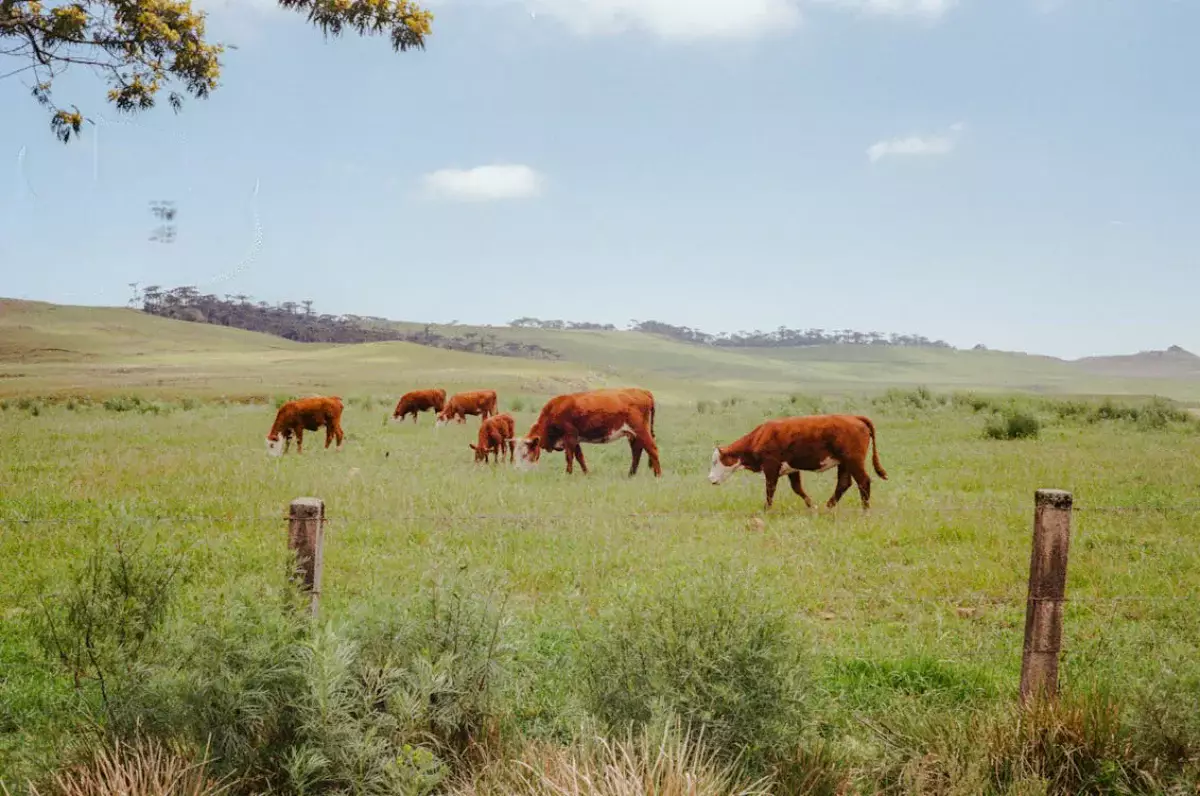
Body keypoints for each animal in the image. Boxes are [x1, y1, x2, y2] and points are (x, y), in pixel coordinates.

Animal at [511, 386, 662, 475]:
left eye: (525, 454)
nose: (517, 470)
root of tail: (643, 391)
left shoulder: (569, 436)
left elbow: (569, 457)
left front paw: (568, 473)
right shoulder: (575, 439)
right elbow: (579, 457)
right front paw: (586, 473)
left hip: (641, 430)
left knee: (652, 449)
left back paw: (658, 475)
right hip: (632, 434)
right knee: (637, 451)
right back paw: (631, 474)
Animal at [705, 417, 888, 511]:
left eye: (715, 461)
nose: (710, 479)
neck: (759, 436)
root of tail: (854, 417)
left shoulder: (771, 466)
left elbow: (770, 489)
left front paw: (766, 509)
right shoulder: (792, 469)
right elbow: (797, 488)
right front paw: (812, 506)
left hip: (854, 461)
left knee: (863, 481)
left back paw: (865, 510)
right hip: (844, 463)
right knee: (844, 483)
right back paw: (828, 507)